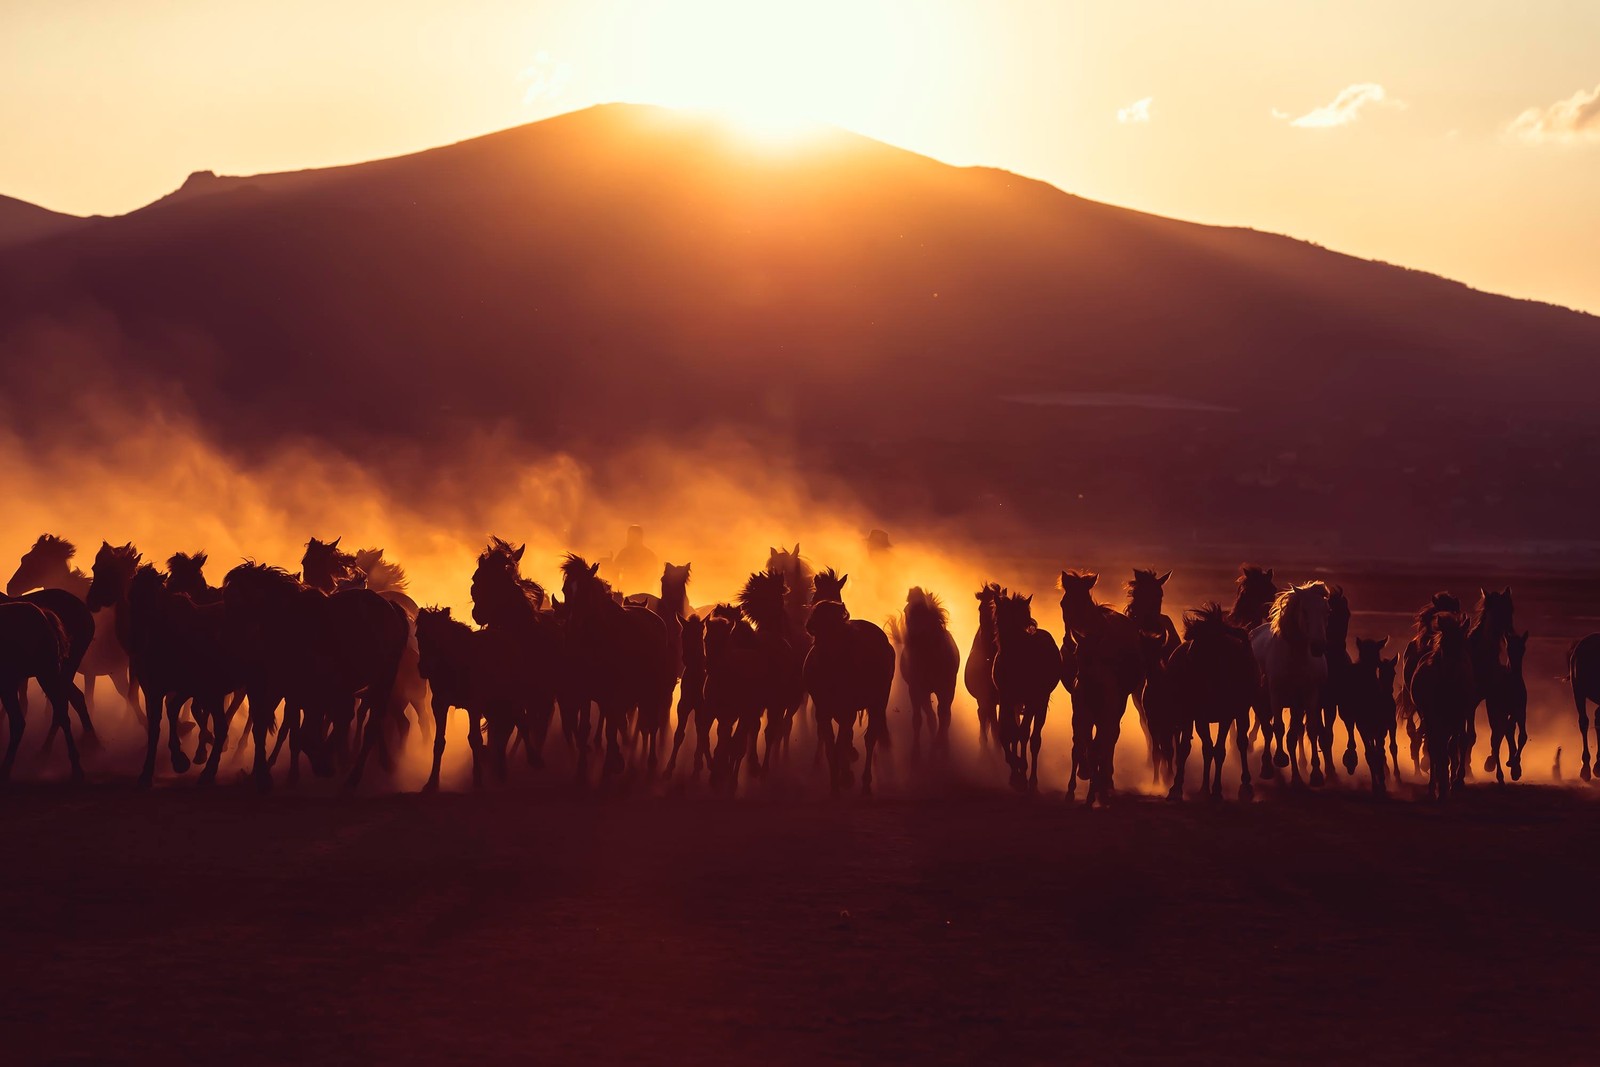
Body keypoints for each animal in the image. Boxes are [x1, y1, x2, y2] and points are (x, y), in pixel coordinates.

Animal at [806, 601, 896, 793]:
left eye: (837, 627)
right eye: (818, 629)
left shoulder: (848, 712)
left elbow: (839, 747)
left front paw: (844, 778)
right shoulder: (823, 713)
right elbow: (831, 749)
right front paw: (836, 784)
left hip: (879, 701)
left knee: (870, 738)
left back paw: (866, 782)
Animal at [1056, 572, 1145, 806]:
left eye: (1085, 602)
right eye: (1063, 603)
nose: (1071, 642)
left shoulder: (1110, 705)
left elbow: (1101, 742)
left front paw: (1096, 785)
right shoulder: (1079, 706)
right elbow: (1082, 742)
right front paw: (1083, 775)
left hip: (1120, 703)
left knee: (1110, 739)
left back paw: (1105, 783)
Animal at [1248, 585, 1337, 783]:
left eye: (1327, 611)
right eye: (1304, 610)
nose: (1318, 647)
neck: (1297, 660)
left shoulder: (1309, 698)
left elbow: (1310, 730)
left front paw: (1316, 773)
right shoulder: (1276, 695)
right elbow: (1278, 728)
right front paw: (1280, 758)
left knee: (1291, 735)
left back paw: (1296, 776)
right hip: (1261, 702)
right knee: (1267, 729)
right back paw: (1267, 767)